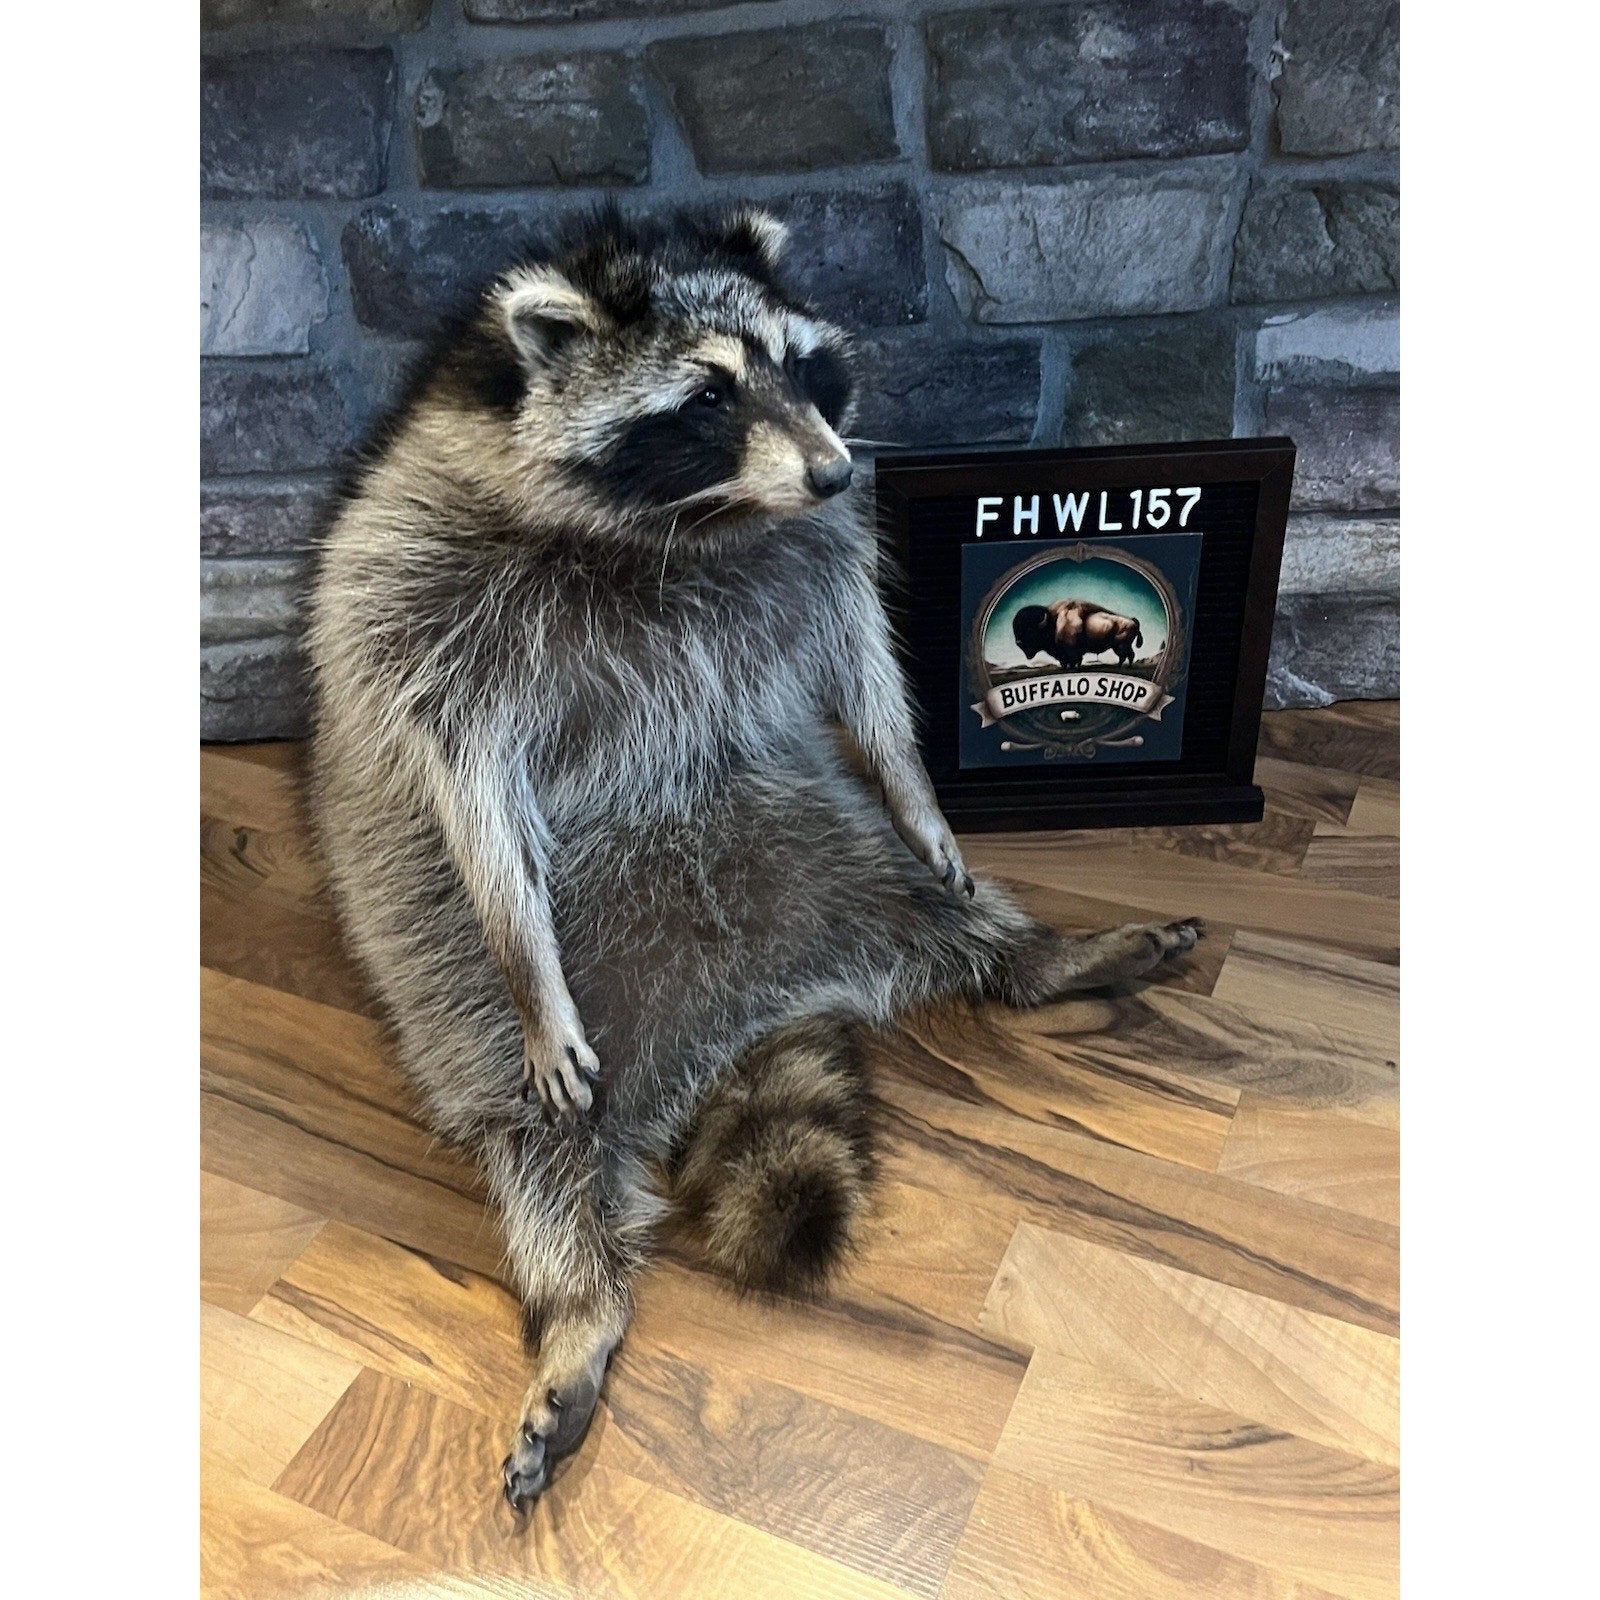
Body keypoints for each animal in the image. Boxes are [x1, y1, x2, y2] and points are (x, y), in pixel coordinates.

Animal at [304, 205, 1198, 1516]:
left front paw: (918, 784)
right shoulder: (435, 599)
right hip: (464, 1017)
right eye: (706, 397)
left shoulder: (818, 551)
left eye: (796, 364)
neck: (691, 521)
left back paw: (1037, 956)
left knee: (923, 897)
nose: (833, 470)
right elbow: (469, 778)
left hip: (817, 831)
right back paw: (579, 1305)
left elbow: (863, 661)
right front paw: (525, 948)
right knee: (541, 1162)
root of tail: (743, 1021)